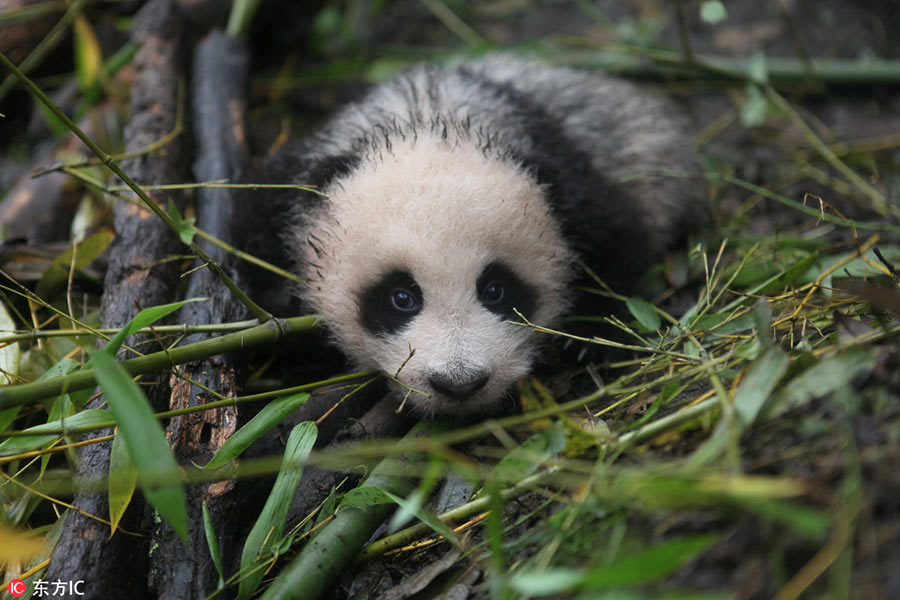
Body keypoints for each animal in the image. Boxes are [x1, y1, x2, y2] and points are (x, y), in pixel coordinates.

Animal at [269, 55, 700, 416]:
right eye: (400, 297)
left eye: (496, 290)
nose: (459, 383)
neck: (428, 119)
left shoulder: (567, 177)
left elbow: (617, 240)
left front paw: (586, 336)